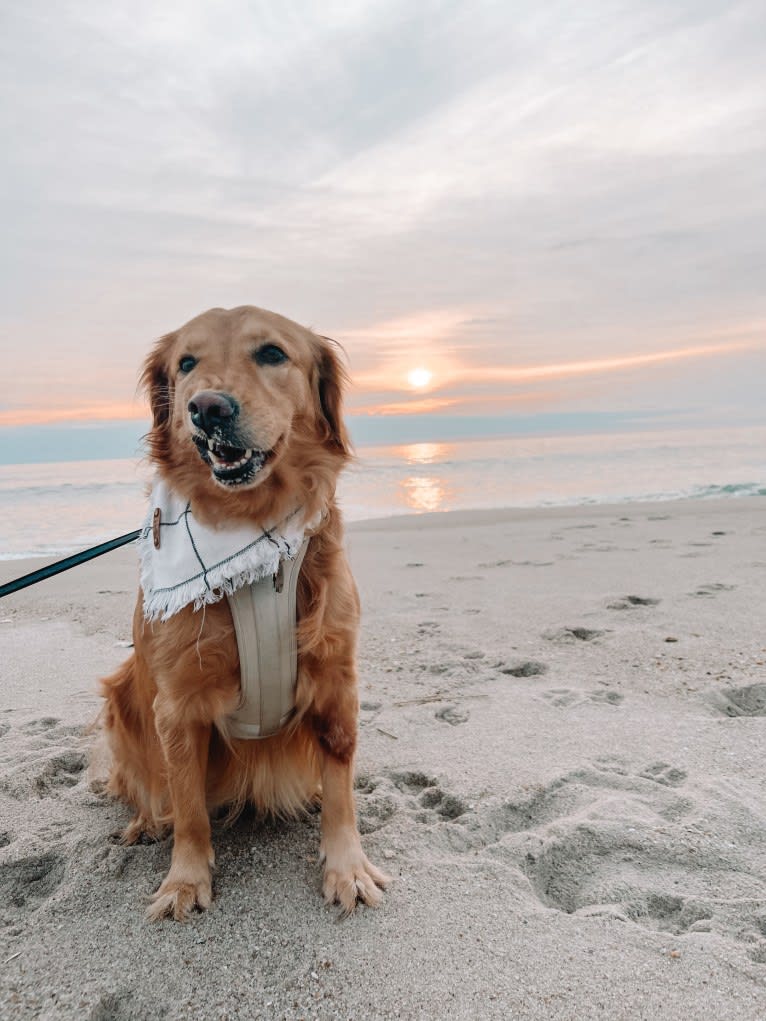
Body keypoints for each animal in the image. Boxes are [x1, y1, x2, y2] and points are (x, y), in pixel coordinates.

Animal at [100, 306, 390, 922]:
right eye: (186, 363)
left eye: (273, 353)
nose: (207, 407)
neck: (249, 524)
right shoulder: (176, 705)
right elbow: (188, 806)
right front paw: (184, 881)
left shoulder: (337, 682)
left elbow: (342, 789)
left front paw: (347, 868)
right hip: (121, 697)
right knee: (147, 784)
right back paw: (145, 821)